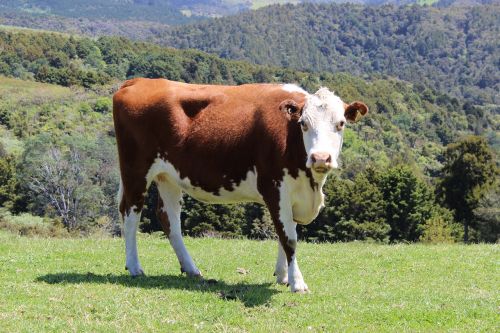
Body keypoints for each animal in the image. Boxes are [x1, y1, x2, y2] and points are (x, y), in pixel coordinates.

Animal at [115, 78, 370, 290]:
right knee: (130, 214)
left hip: (168, 176)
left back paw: (191, 269)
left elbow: (286, 232)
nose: (320, 158)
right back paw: (135, 267)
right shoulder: (274, 187)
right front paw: (297, 283)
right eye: (303, 123)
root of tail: (138, 81)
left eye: (341, 123)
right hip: (135, 171)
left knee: (169, 219)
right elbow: (288, 237)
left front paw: (283, 276)